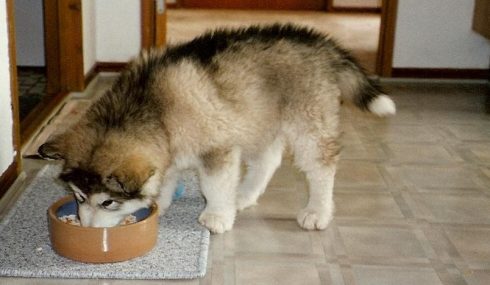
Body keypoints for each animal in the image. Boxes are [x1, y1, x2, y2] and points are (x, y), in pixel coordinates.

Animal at [40, 24, 396, 232]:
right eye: (78, 197)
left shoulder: (217, 148)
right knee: (268, 159)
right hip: (256, 117)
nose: (87, 229)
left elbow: (213, 186)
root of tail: (322, 44)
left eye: (107, 202)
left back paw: (317, 211)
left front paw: (216, 216)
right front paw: (160, 205)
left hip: (307, 123)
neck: (154, 107)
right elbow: (164, 180)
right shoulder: (167, 149)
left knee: (321, 167)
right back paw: (245, 195)